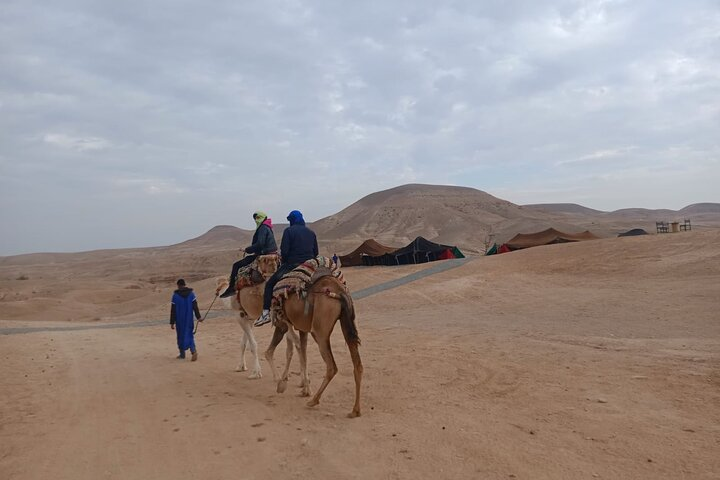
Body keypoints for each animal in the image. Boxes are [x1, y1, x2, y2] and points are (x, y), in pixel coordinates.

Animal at [264, 262, 362, 416]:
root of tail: (340, 292)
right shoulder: (302, 328)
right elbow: (301, 351)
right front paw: (303, 386)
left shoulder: (283, 323)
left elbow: (289, 348)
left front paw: (283, 384)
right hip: (347, 323)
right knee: (357, 364)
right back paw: (355, 410)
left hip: (319, 332)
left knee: (332, 366)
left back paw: (314, 400)